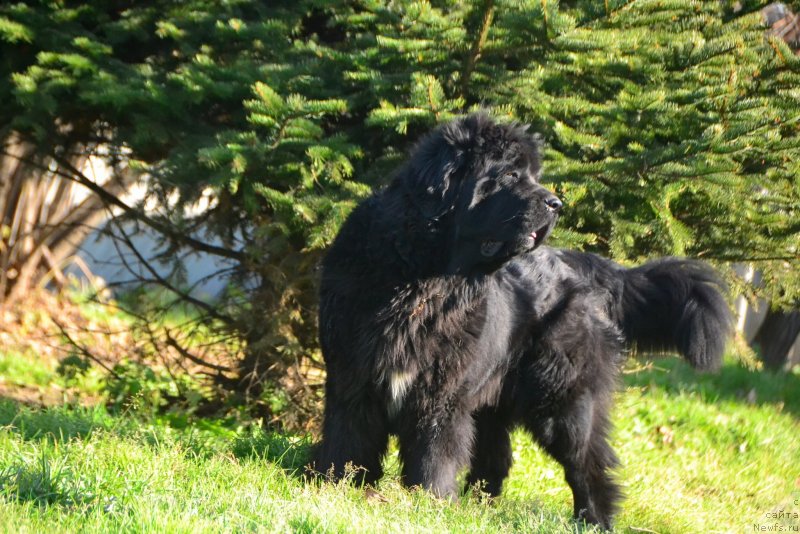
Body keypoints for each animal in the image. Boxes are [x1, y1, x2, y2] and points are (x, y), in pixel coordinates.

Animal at [310, 114, 732, 532]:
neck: (421, 278)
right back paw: (478, 506)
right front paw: (340, 485)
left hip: (562, 397)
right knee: (496, 455)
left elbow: (435, 451)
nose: (556, 203)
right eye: (510, 176)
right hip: (493, 393)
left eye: (531, 175)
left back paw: (593, 520)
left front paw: (429, 502)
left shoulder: (443, 392)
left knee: (588, 460)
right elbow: (350, 435)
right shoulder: (355, 374)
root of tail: (581, 263)